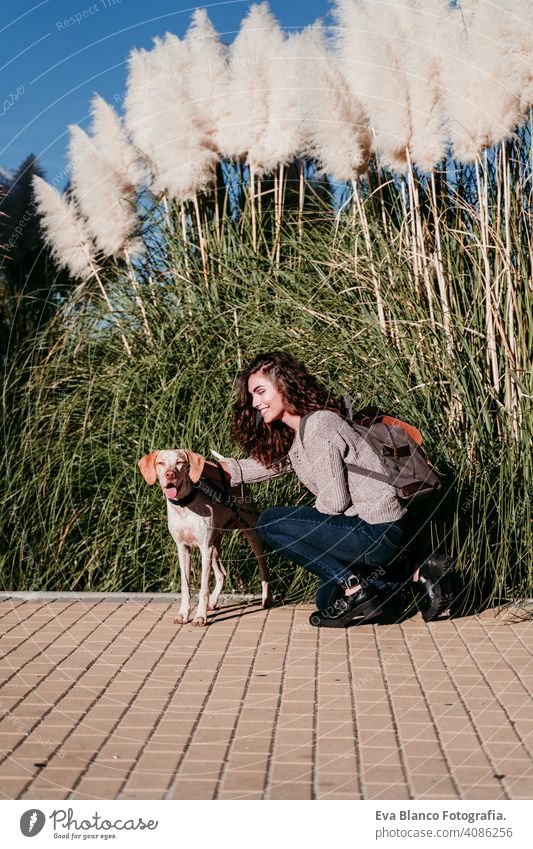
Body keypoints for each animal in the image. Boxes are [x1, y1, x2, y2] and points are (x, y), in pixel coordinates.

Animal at [138, 450, 270, 624]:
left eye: (180, 462)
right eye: (160, 463)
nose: (170, 474)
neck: (184, 506)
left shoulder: (204, 548)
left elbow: (203, 586)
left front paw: (200, 616)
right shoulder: (183, 548)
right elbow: (185, 585)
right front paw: (183, 614)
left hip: (250, 534)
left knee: (263, 569)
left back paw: (266, 599)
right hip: (214, 544)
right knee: (222, 574)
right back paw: (212, 602)